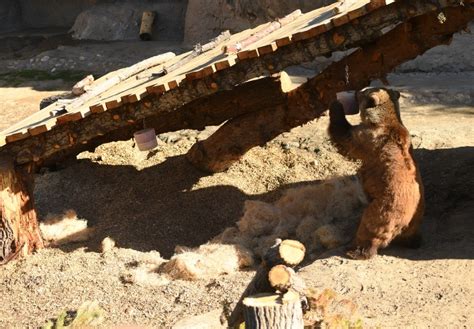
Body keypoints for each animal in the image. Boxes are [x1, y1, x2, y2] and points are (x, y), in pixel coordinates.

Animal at [328, 87, 424, 258]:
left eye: (362, 92)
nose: (355, 91)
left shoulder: (367, 138)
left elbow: (344, 136)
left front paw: (336, 103)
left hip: (383, 209)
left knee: (370, 229)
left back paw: (356, 251)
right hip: (416, 216)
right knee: (411, 233)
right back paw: (414, 242)